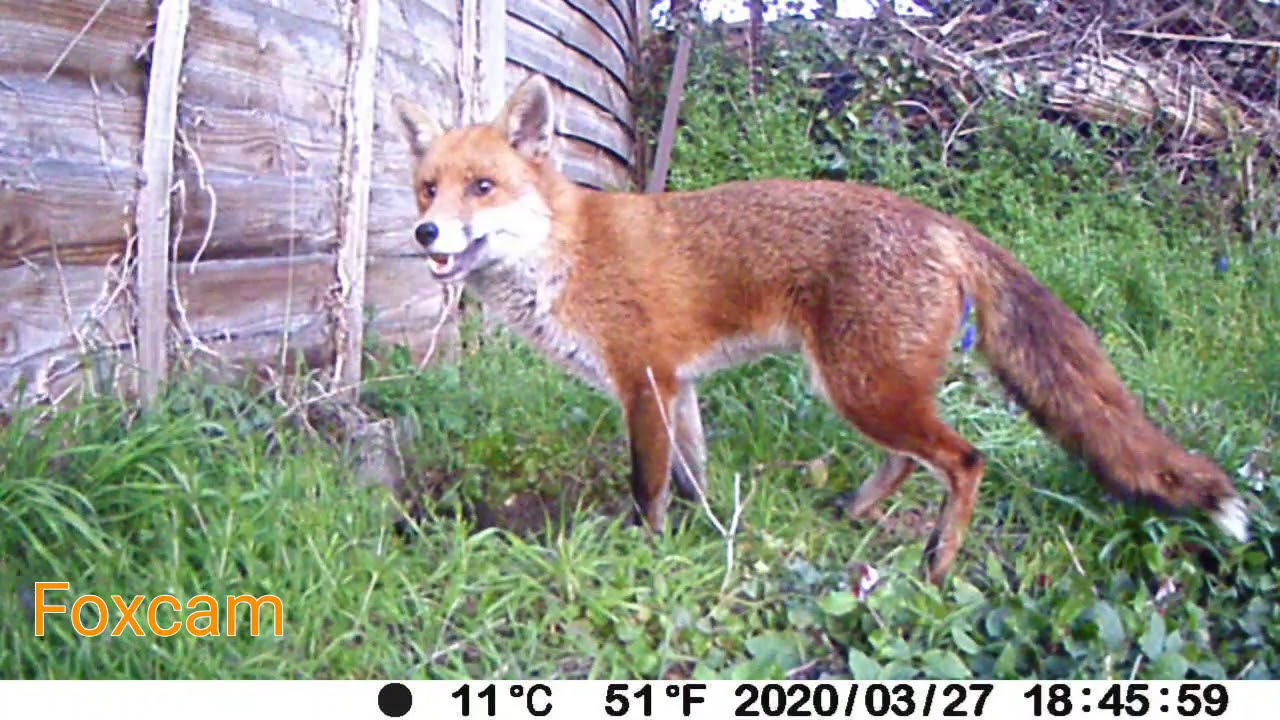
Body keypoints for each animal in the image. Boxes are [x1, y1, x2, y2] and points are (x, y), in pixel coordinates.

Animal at [391, 73, 1250, 586]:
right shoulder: (680, 387)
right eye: (429, 188)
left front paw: (648, 555)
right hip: (868, 385)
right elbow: (694, 477)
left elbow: (648, 487)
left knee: (963, 460)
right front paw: (708, 535)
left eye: (483, 187)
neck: (564, 255)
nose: (425, 233)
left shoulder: (642, 382)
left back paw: (939, 564)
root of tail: (939, 222)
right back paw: (860, 513)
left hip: (858, 386)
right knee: (911, 461)